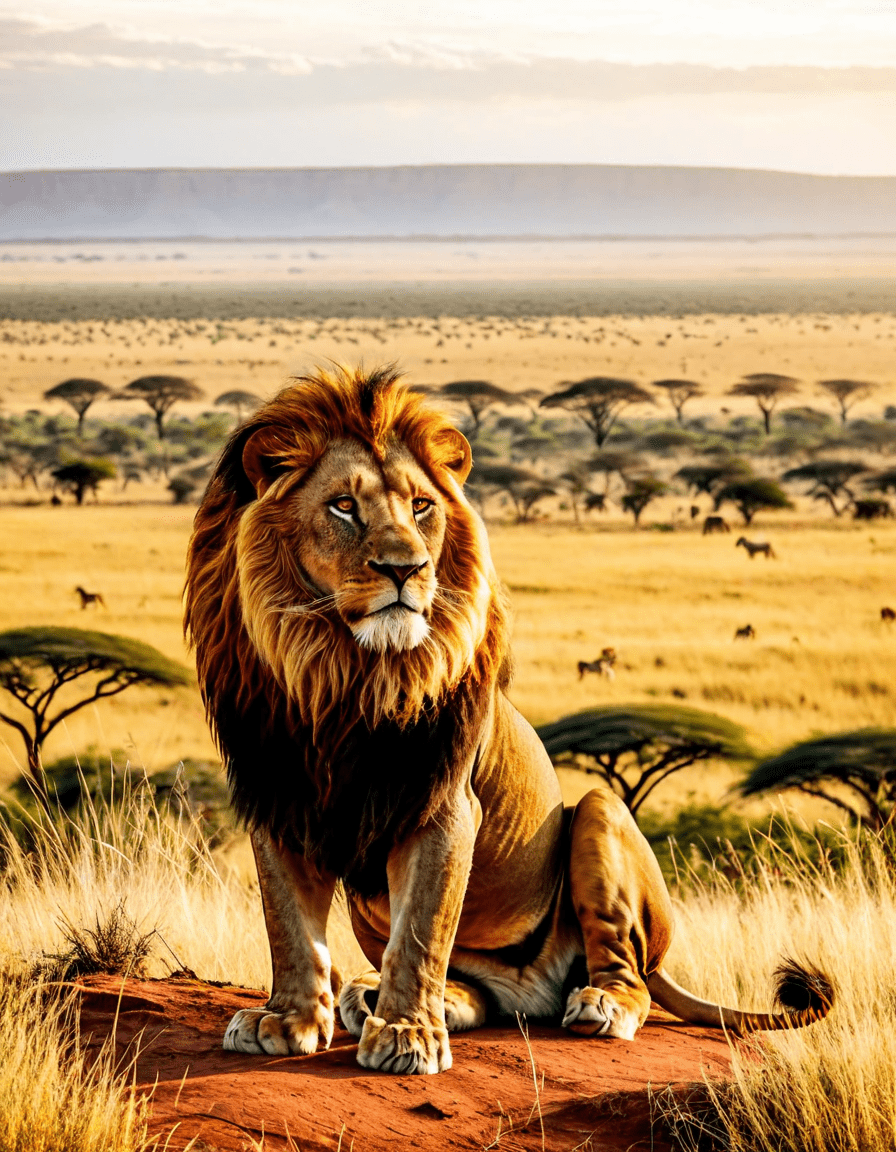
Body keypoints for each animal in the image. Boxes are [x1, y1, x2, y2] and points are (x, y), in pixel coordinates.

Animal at [184, 366, 832, 1076]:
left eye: (420, 506)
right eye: (344, 506)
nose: (407, 570)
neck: (343, 674)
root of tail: (533, 989)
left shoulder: (443, 803)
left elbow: (422, 928)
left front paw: (408, 1035)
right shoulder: (277, 794)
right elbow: (289, 927)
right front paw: (286, 1019)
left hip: (601, 814)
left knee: (622, 969)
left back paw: (594, 1005)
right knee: (471, 988)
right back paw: (383, 996)